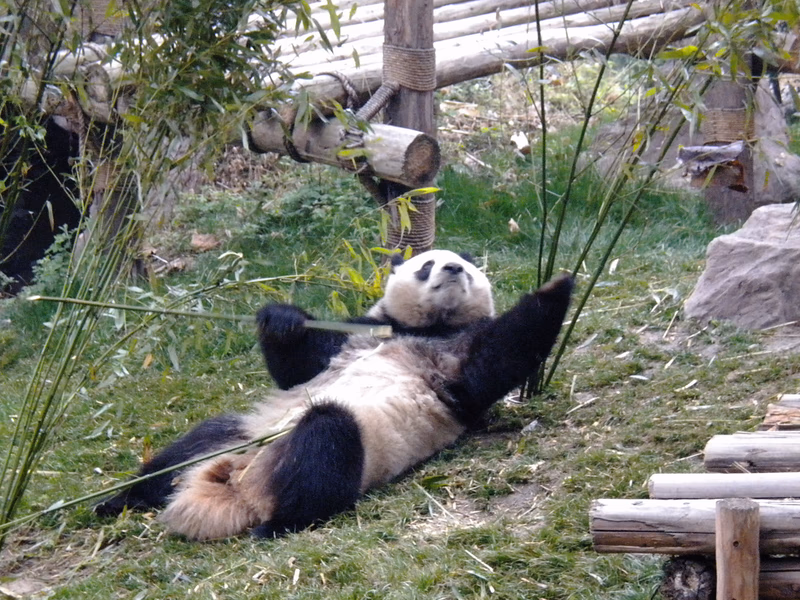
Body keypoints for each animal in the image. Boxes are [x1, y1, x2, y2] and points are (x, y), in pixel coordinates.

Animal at [95, 250, 573, 540]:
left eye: (466, 267)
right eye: (428, 264)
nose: (454, 271)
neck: (428, 326)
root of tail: (235, 486)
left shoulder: (454, 362)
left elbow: (500, 355)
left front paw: (559, 283)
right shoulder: (359, 333)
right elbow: (298, 367)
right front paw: (281, 320)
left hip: (354, 447)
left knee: (326, 440)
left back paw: (278, 523)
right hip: (242, 433)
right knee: (192, 445)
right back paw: (120, 500)